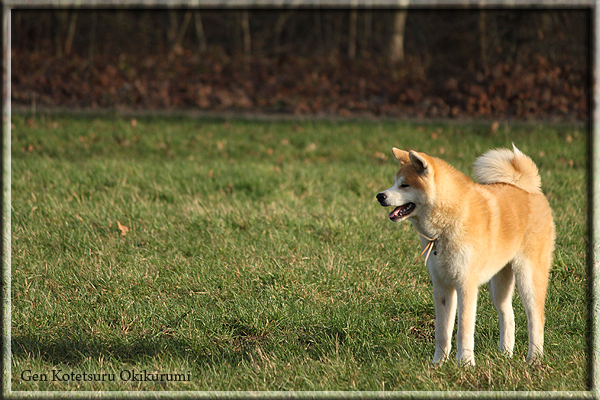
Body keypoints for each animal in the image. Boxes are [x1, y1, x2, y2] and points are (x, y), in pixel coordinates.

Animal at [378, 145, 556, 366]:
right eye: (395, 182)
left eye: (404, 185)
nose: (380, 196)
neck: (449, 223)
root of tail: (530, 189)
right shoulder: (442, 286)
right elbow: (442, 332)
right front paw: (438, 364)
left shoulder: (466, 285)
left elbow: (463, 329)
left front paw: (465, 364)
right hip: (499, 283)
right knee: (508, 314)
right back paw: (504, 354)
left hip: (528, 276)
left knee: (536, 318)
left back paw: (534, 359)